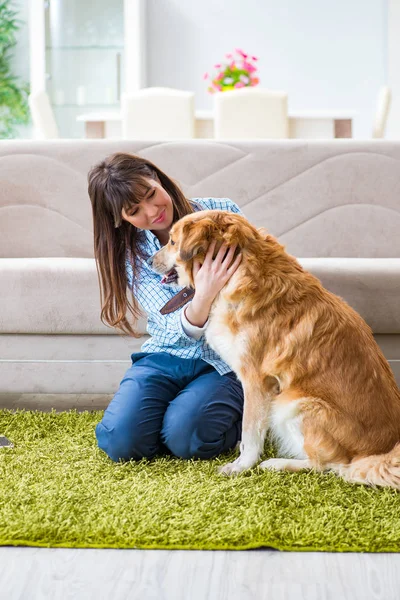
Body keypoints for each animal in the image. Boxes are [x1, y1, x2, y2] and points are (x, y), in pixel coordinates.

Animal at [152, 210, 400, 488]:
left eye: (172, 241)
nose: (149, 261)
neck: (239, 273)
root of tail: (378, 453)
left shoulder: (256, 381)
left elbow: (251, 429)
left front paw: (241, 465)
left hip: (292, 403)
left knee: (329, 466)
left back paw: (277, 463)